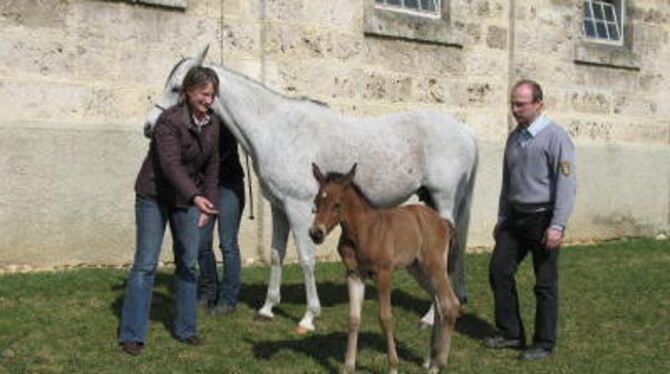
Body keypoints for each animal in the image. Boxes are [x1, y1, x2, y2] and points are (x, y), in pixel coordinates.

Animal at [143, 47, 478, 334]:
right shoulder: (279, 207)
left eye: (177, 87)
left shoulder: (299, 207)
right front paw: (267, 309)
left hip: (443, 200)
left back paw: (430, 317)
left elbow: (306, 258)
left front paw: (308, 317)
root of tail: (466, 131)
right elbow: (277, 254)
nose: (149, 127)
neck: (277, 129)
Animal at [312, 164, 462, 374]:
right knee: (439, 304)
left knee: (450, 304)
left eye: (337, 204)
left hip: (435, 266)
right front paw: (348, 366)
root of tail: (443, 222)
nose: (316, 233)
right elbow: (353, 319)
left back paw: (438, 364)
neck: (364, 231)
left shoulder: (383, 274)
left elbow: (385, 318)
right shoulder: (354, 275)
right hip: (418, 270)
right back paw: (429, 360)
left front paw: (393, 366)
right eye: (316, 201)